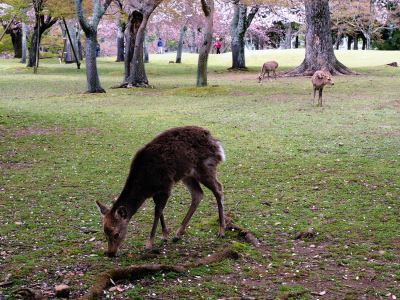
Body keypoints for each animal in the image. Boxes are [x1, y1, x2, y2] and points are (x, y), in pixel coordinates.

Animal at [94, 125, 225, 256]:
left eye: (116, 234)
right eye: (105, 233)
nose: (110, 253)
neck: (145, 186)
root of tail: (215, 142)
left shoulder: (166, 186)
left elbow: (157, 211)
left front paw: (149, 244)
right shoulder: (156, 192)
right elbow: (160, 209)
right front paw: (165, 235)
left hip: (205, 167)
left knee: (218, 188)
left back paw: (221, 230)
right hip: (187, 174)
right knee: (198, 194)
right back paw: (178, 234)